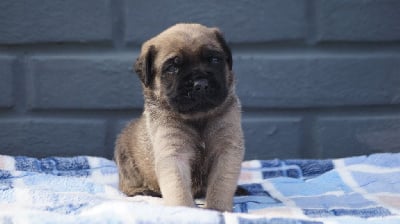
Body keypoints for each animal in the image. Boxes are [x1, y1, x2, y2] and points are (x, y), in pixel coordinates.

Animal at [114, 23, 245, 212]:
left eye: (214, 60)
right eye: (172, 68)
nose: (201, 84)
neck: (198, 118)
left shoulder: (226, 150)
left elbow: (221, 184)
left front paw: (218, 208)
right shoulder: (174, 153)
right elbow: (179, 187)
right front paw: (184, 210)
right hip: (124, 155)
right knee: (127, 184)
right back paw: (142, 191)